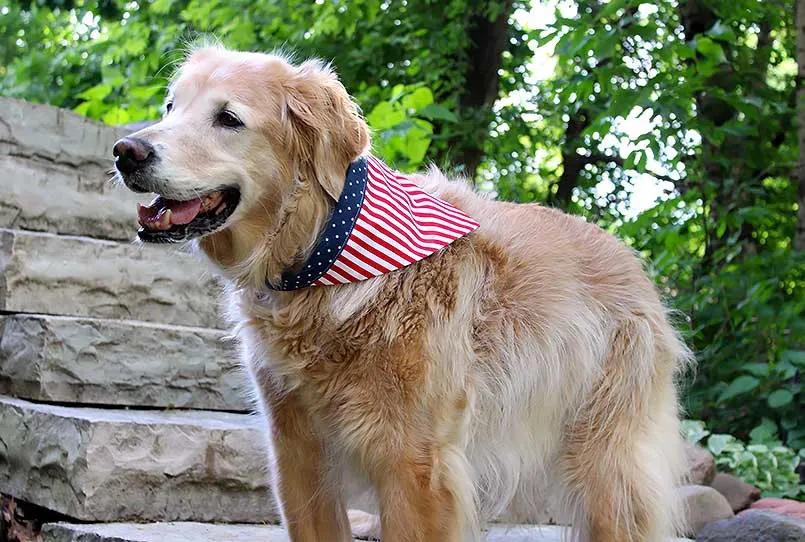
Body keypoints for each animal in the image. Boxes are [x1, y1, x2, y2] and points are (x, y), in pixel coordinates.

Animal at [113, 45, 692, 540]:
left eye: (228, 119)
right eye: (171, 106)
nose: (125, 151)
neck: (324, 253)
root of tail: (631, 259)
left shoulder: (415, 465)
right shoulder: (296, 451)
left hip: (607, 468)